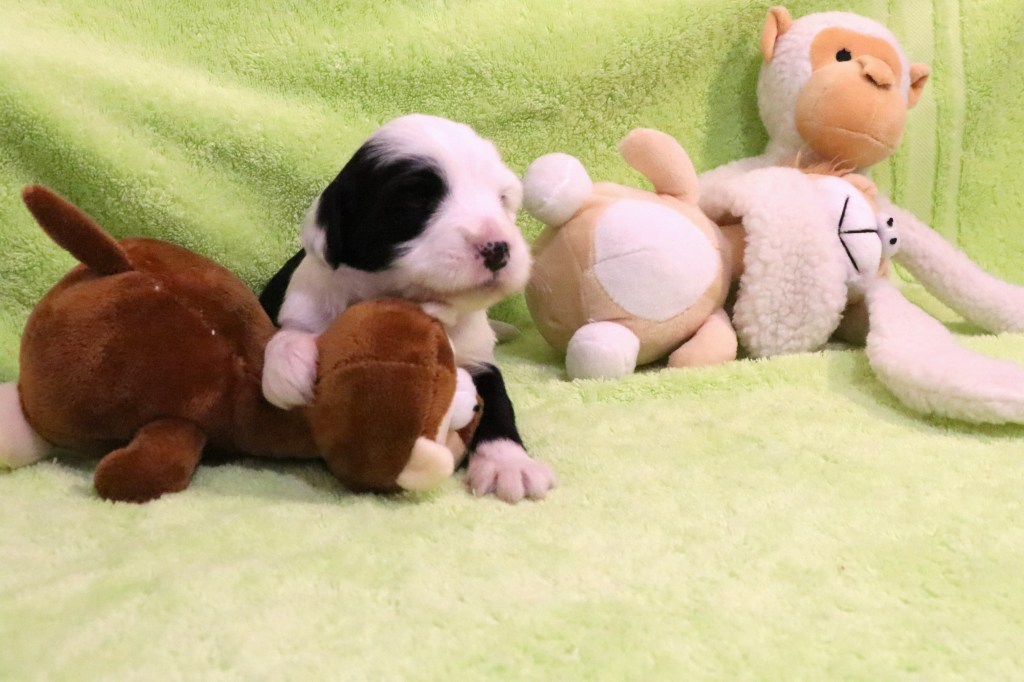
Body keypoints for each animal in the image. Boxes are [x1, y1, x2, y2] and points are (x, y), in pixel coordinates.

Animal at [259, 114, 556, 503]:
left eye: (502, 199)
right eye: (417, 202)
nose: (498, 248)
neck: (429, 307)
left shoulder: (479, 359)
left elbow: (497, 402)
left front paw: (509, 463)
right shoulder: (304, 305)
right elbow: (288, 333)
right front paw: (289, 367)